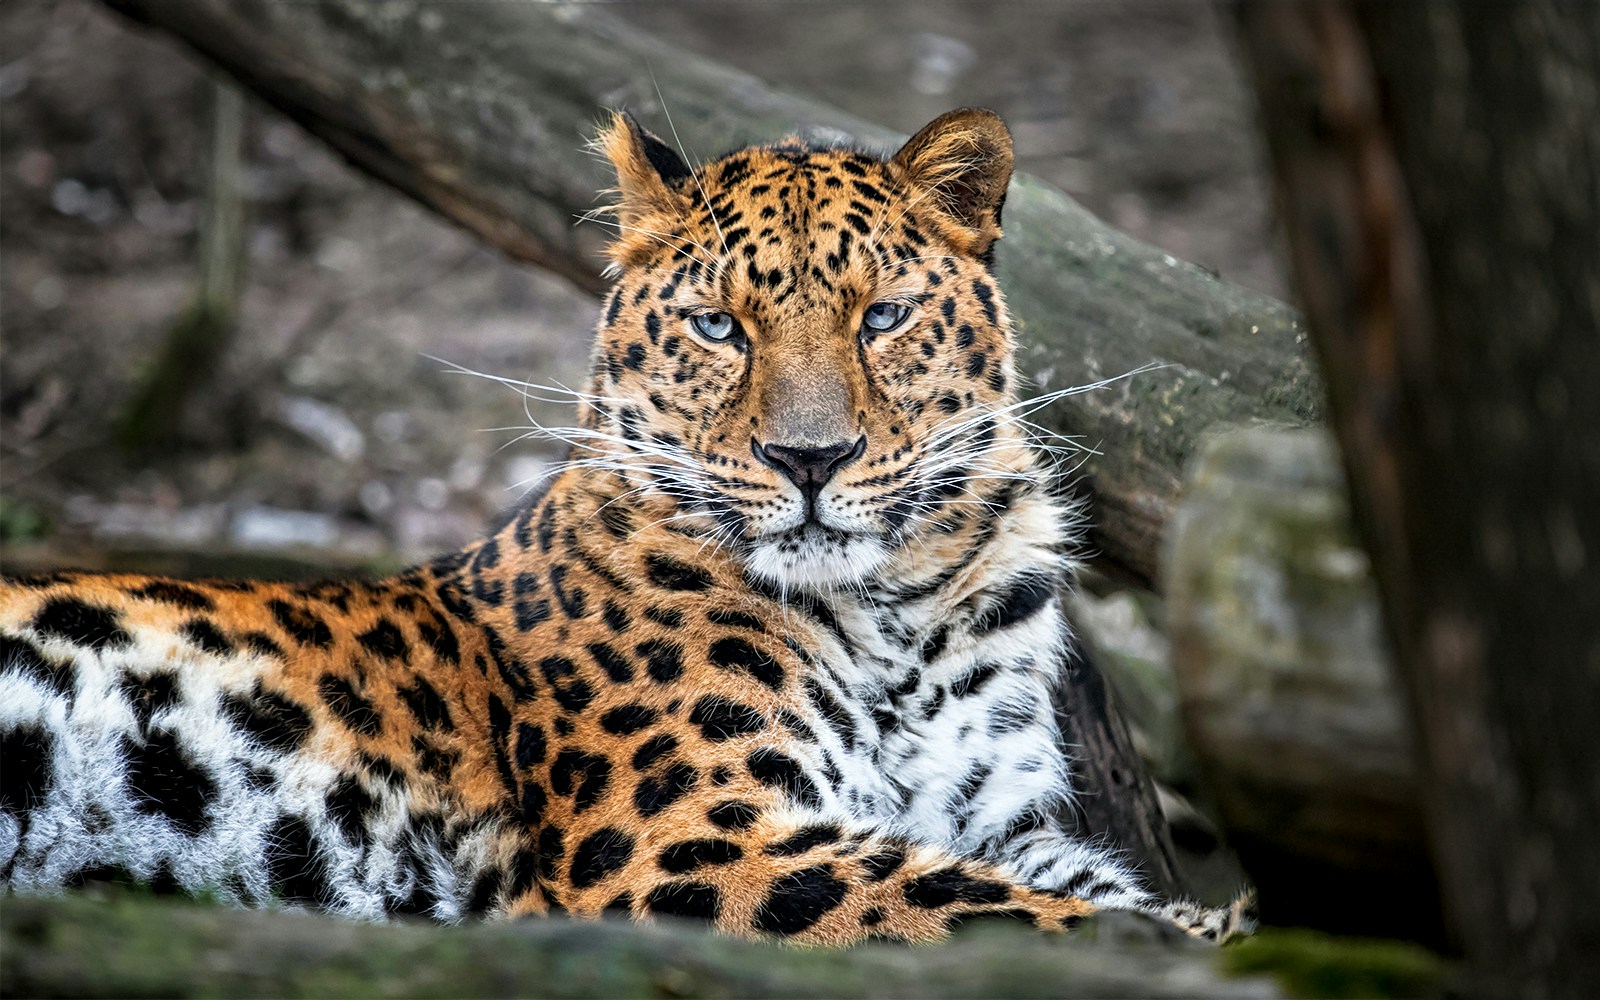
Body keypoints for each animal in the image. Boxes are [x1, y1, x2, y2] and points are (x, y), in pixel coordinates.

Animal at [0, 108, 1251, 946]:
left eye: (883, 317)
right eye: (718, 326)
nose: (809, 459)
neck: (895, 611)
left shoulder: (1000, 819)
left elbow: (1080, 891)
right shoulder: (688, 843)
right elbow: (1014, 913)